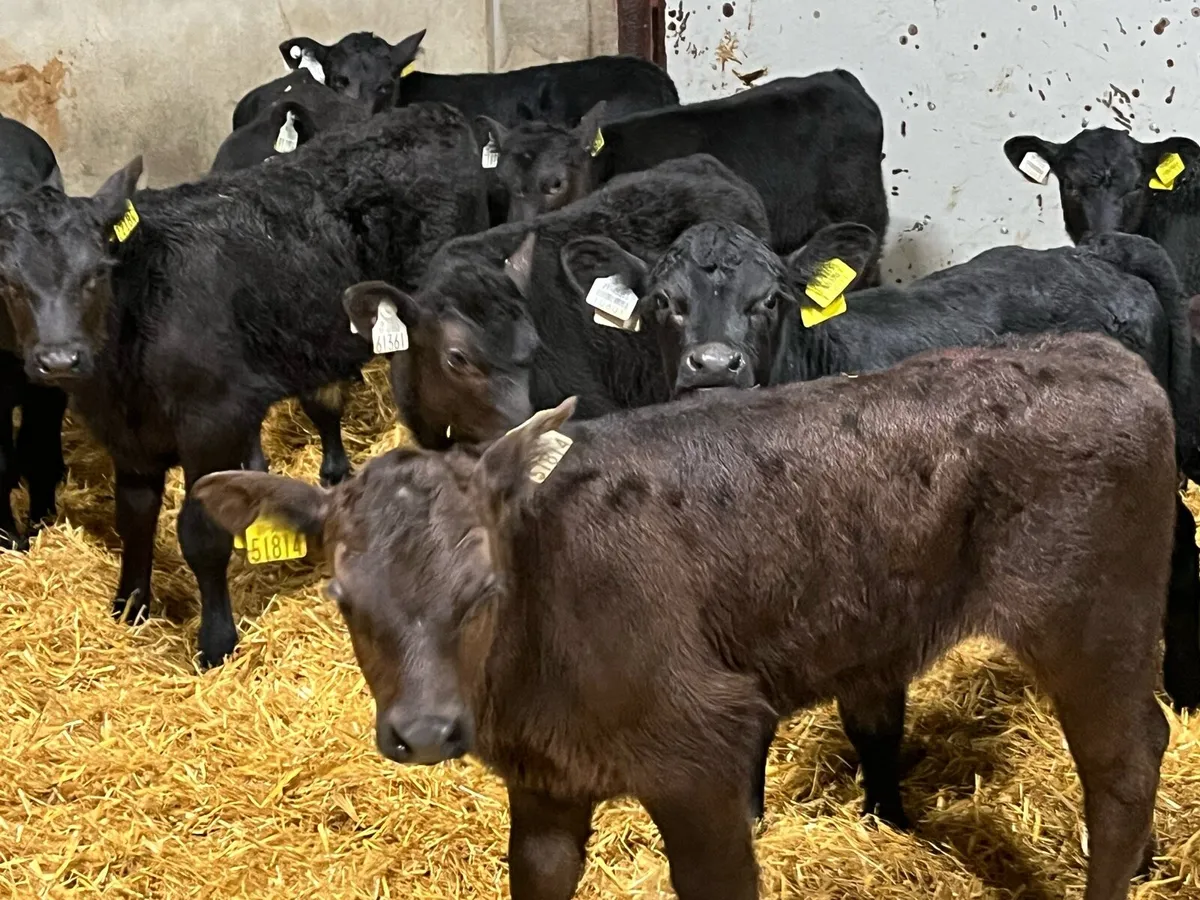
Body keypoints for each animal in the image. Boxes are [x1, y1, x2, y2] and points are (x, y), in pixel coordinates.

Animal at [0, 103, 488, 667]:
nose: (59, 359)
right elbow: (135, 516)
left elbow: (201, 533)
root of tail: (432, 112)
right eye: (8, 282)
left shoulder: (212, 423)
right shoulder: (129, 437)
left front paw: (215, 642)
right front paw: (130, 606)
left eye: (97, 273)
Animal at [193, 330, 1175, 900]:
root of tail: (1108, 355)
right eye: (344, 597)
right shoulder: (544, 785)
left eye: (483, 590)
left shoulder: (702, 753)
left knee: (1123, 763)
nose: (427, 731)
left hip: (1089, 616)